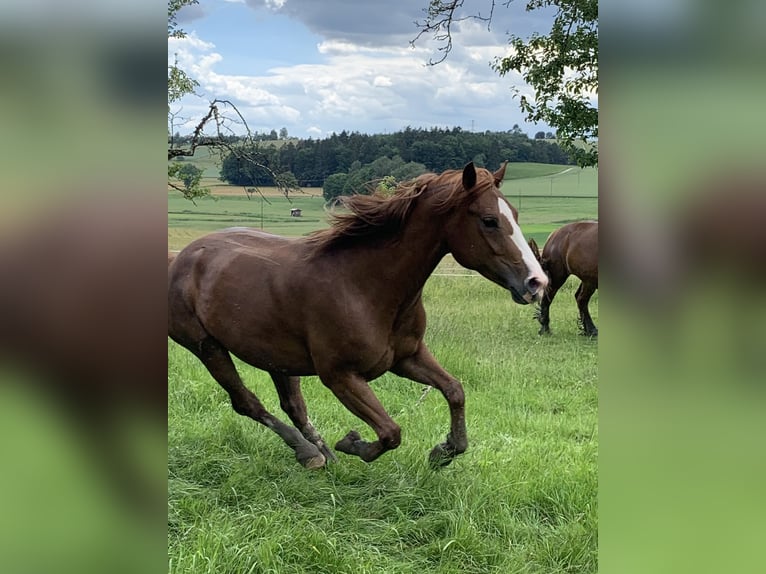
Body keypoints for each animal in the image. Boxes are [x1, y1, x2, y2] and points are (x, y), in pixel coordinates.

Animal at [170, 164, 548, 470]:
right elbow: (391, 432)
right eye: (489, 220)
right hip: (207, 348)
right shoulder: (341, 376)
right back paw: (310, 453)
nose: (536, 282)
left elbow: (455, 390)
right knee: (247, 403)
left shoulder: (407, 357)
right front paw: (352, 443)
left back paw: (322, 454)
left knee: (293, 405)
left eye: (515, 214)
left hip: (276, 358)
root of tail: (182, 258)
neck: (364, 285)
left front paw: (444, 451)